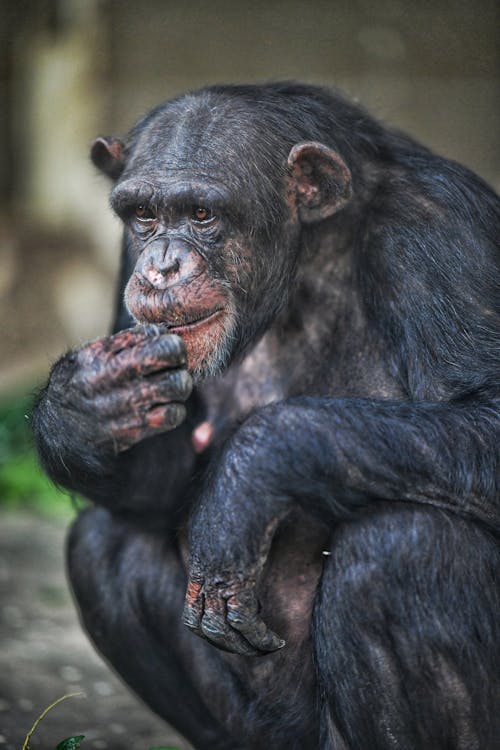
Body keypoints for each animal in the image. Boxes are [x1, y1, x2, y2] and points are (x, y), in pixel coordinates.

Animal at [32, 82, 500, 750]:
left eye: (202, 215)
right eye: (144, 215)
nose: (161, 265)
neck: (308, 255)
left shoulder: (444, 234)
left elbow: (488, 415)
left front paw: (243, 482)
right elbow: (164, 478)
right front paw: (83, 409)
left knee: (401, 550)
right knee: (105, 542)